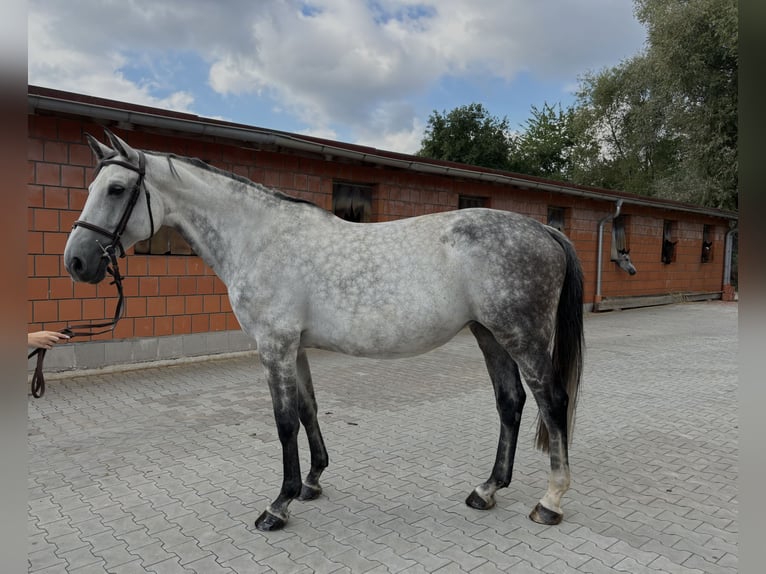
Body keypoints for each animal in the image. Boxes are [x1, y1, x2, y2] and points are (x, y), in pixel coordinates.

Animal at [63, 129, 585, 532]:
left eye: (115, 189)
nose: (76, 262)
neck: (259, 239)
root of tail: (544, 229)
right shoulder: (295, 347)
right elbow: (308, 409)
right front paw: (312, 483)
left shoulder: (274, 346)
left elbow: (283, 421)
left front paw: (279, 505)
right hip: (488, 333)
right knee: (510, 403)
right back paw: (487, 489)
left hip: (522, 337)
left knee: (552, 401)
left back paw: (550, 501)